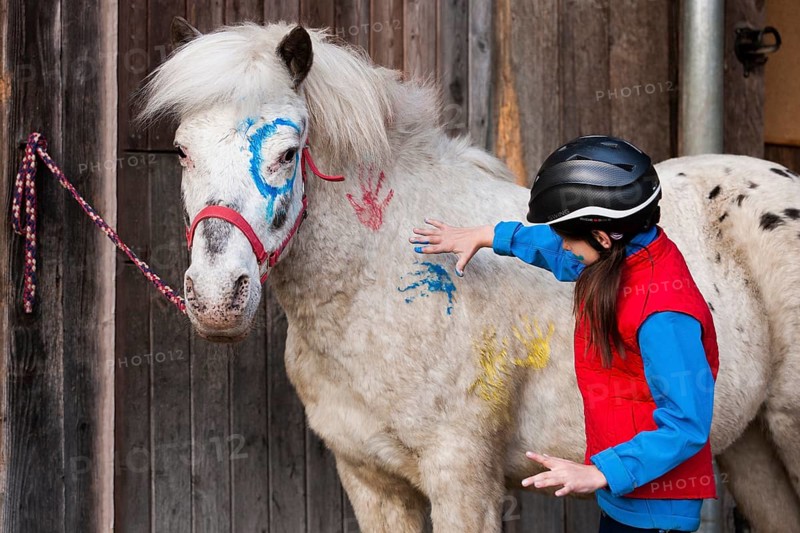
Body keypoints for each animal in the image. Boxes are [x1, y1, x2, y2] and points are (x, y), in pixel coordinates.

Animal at [138, 19, 800, 532]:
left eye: (287, 153)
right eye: (183, 151)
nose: (217, 298)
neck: (380, 285)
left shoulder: (462, 478)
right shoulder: (370, 481)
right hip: (750, 445)